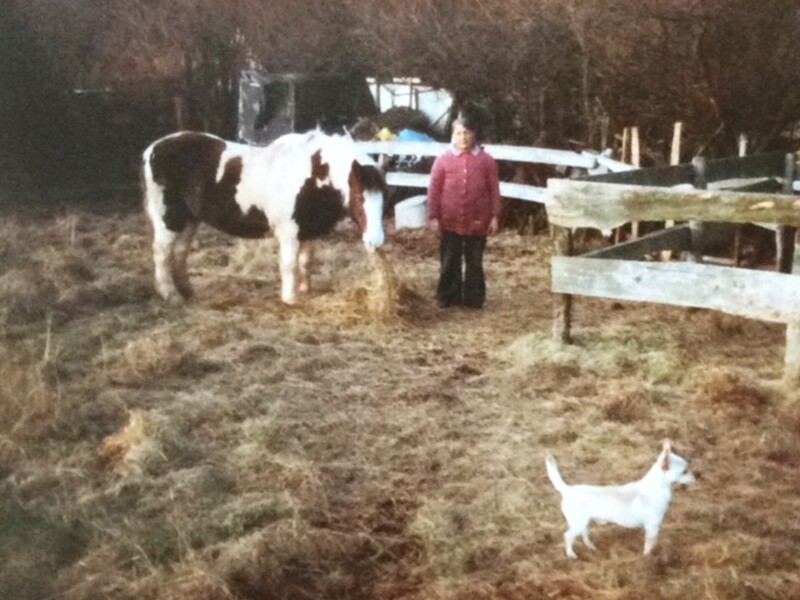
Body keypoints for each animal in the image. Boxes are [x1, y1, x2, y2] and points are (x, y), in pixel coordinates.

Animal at [141, 129, 384, 302]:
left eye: (386, 196)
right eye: (359, 197)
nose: (376, 241)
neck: (313, 173)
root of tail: (151, 150)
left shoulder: (309, 231)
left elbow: (306, 263)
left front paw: (305, 290)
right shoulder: (289, 233)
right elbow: (289, 265)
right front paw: (290, 299)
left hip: (190, 219)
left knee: (180, 253)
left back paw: (187, 291)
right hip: (169, 220)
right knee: (162, 254)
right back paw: (171, 295)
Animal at [544, 440, 692, 556]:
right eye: (684, 471)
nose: (695, 476)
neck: (657, 488)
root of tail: (567, 490)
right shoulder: (652, 526)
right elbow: (648, 545)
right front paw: (647, 559)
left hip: (583, 522)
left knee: (584, 534)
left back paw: (591, 547)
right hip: (578, 523)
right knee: (567, 536)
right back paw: (571, 554)